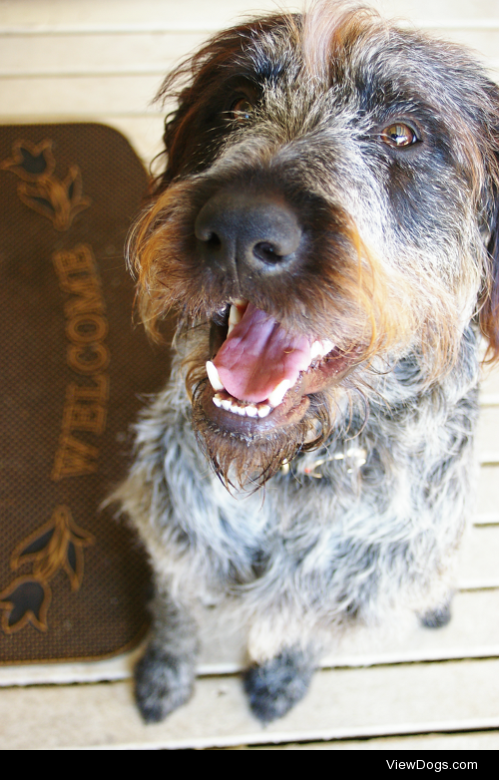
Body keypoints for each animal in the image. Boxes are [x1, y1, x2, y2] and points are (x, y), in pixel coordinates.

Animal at [115, 1, 499, 724]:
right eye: (237, 103)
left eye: (402, 134)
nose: (240, 229)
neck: (297, 471)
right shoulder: (175, 530)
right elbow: (177, 610)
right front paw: (165, 673)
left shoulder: (351, 587)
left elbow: (305, 636)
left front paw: (280, 679)